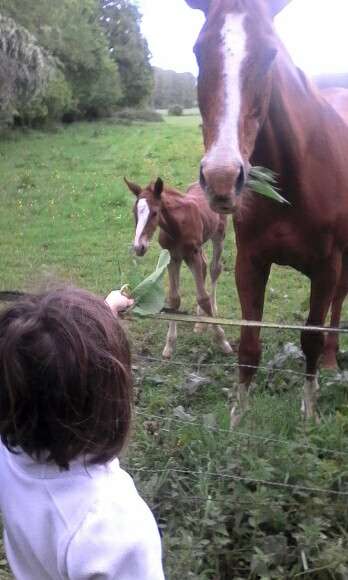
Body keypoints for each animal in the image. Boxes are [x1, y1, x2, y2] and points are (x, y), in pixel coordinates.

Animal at [123, 177, 232, 358]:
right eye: (134, 212)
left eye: (155, 213)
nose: (139, 247)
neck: (177, 225)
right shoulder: (173, 258)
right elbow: (174, 298)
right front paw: (169, 345)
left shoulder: (192, 254)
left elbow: (204, 298)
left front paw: (223, 342)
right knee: (204, 266)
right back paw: (200, 321)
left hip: (218, 235)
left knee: (214, 268)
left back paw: (213, 312)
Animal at [185, 0, 348, 426]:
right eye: (198, 50)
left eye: (271, 52)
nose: (222, 178)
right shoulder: (250, 263)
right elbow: (248, 348)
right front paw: (237, 421)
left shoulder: (327, 266)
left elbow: (310, 338)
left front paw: (309, 412)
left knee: (338, 304)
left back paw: (331, 361)